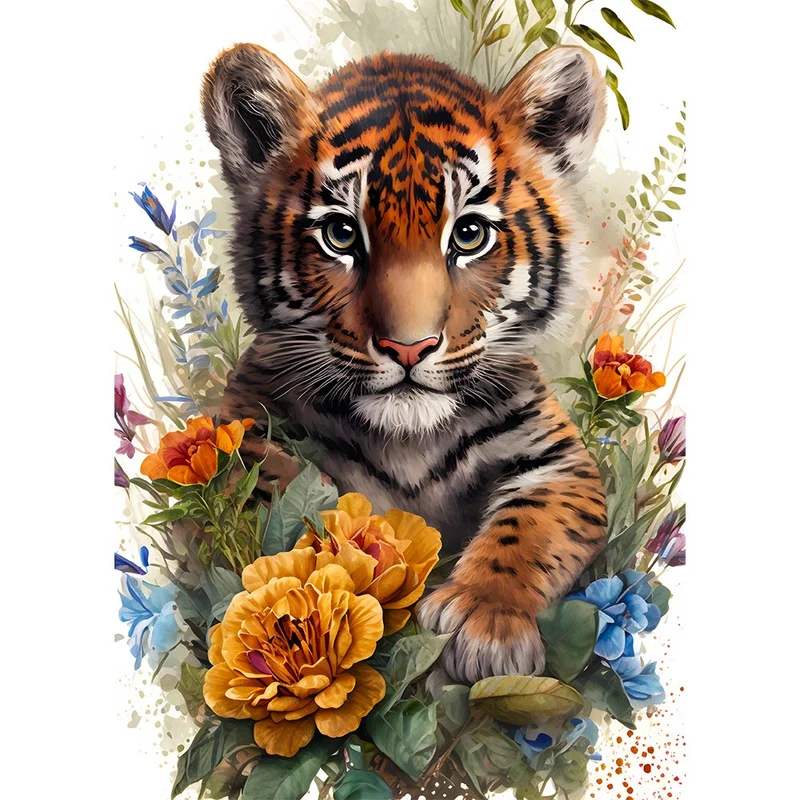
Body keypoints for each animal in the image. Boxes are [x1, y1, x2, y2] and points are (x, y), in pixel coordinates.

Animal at [201, 42, 608, 685]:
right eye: (342, 234)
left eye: (469, 233)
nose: (409, 348)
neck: (409, 439)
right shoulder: (232, 436)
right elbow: (269, 498)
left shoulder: (558, 463)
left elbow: (533, 526)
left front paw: (484, 620)